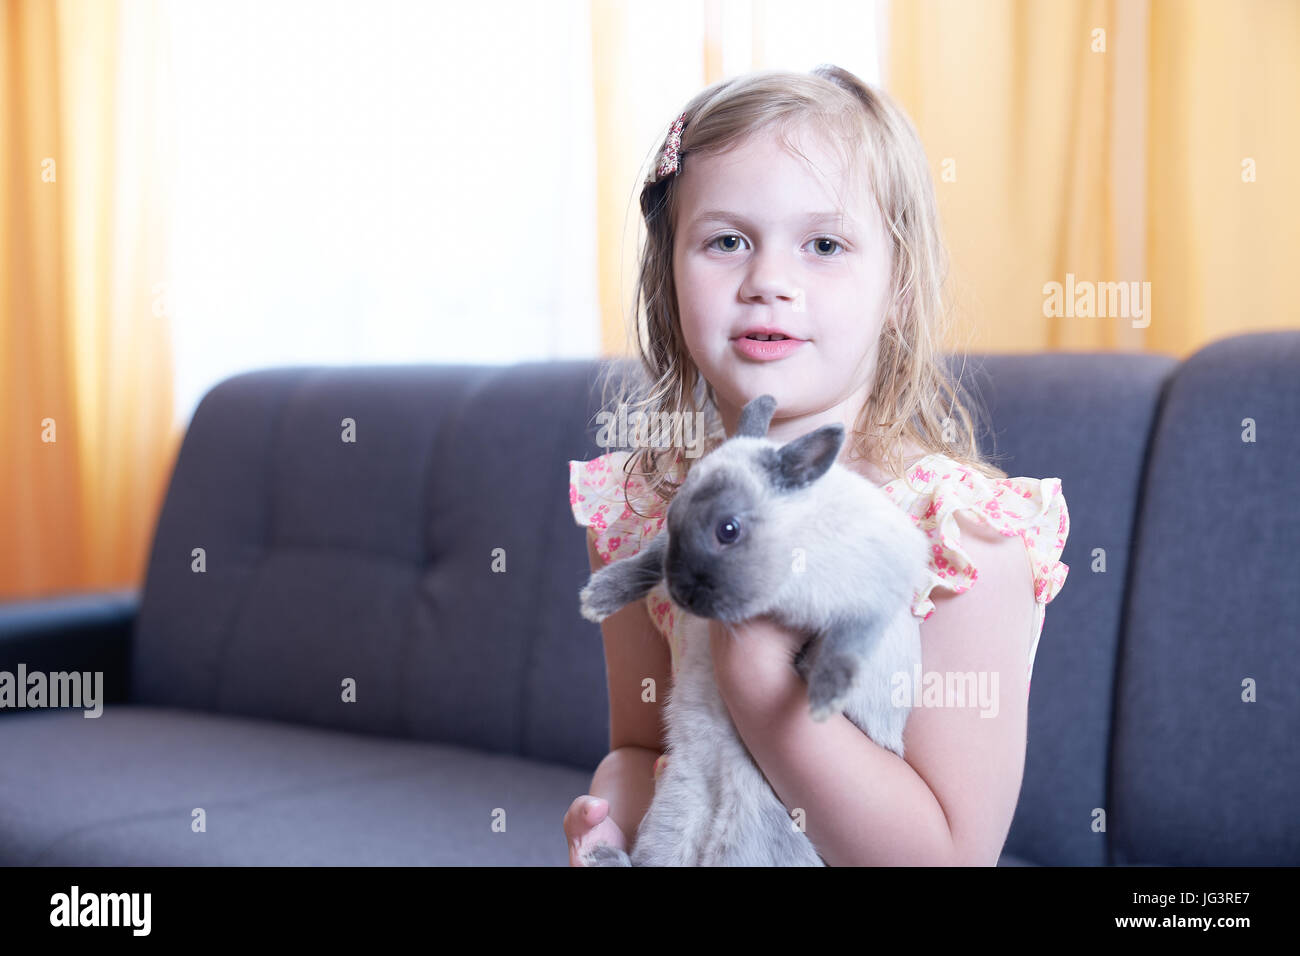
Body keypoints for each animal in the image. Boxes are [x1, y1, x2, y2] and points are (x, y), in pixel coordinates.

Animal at [574, 395, 930, 868]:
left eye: (729, 530)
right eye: (673, 517)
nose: (683, 595)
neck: (793, 546)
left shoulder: (871, 596)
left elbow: (847, 646)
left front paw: (823, 698)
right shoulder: (664, 554)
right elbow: (649, 561)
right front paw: (597, 598)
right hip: (670, 818)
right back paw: (605, 855)